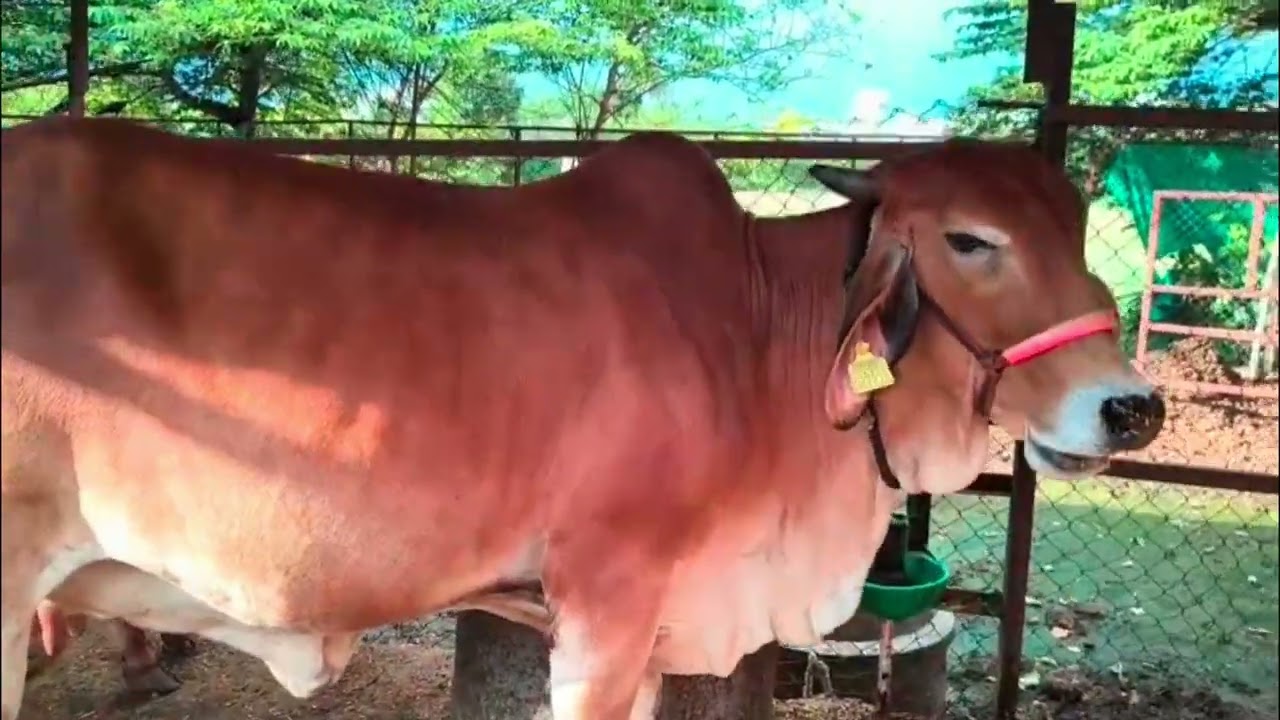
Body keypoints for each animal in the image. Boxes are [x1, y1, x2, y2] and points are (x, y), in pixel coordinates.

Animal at [1, 116, 1165, 720]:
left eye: (1074, 225)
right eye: (970, 240)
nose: (1131, 407)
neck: (754, 339)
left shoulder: (648, 632)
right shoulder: (605, 605)